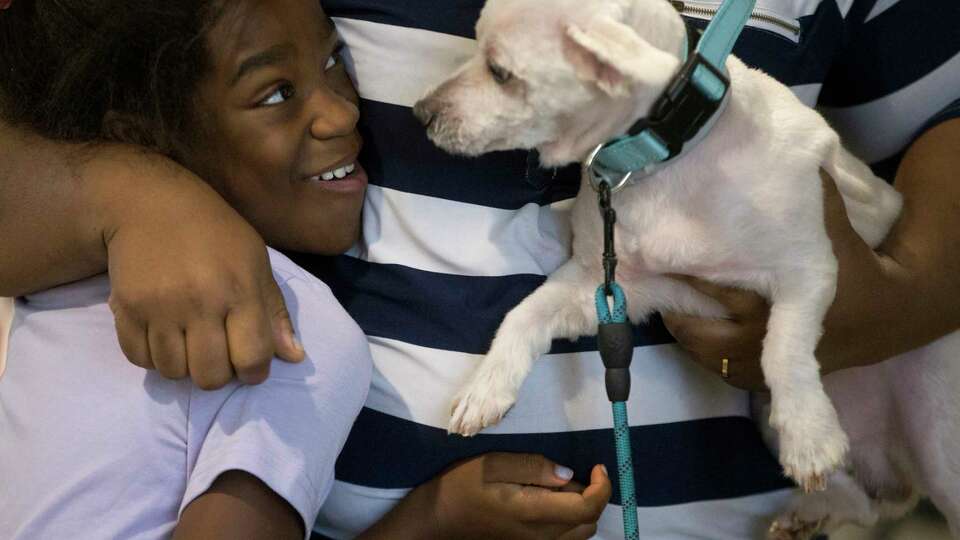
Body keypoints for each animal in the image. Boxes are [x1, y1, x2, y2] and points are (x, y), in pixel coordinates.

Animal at [412, 1, 960, 536]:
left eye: (500, 71)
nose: (420, 113)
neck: (660, 166)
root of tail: (893, 457)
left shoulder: (810, 268)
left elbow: (782, 350)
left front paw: (809, 434)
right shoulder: (607, 288)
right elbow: (522, 315)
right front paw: (485, 386)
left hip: (939, 445)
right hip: (766, 414)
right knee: (872, 506)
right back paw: (814, 511)